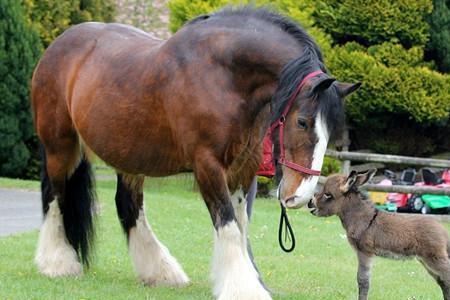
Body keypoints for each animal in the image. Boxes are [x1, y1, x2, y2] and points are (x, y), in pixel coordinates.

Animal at [31, 5, 358, 298]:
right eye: (302, 122)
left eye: (331, 132)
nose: (298, 196)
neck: (223, 76)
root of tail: (59, 45)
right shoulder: (207, 166)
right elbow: (227, 223)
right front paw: (243, 289)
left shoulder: (244, 168)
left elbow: (241, 227)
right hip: (60, 146)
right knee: (55, 195)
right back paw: (58, 263)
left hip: (129, 155)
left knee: (128, 205)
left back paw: (160, 271)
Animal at [308, 169, 450, 300]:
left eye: (328, 194)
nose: (310, 202)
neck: (362, 218)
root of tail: (443, 231)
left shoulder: (365, 252)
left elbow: (363, 281)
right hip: (426, 261)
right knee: (443, 282)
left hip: (434, 258)